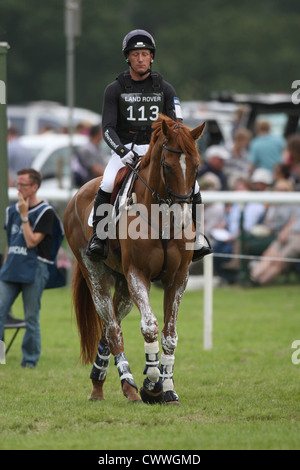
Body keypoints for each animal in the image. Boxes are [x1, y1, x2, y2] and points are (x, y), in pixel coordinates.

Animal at [62, 115, 204, 406]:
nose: (182, 218)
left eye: (196, 167)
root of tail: (78, 193)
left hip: (124, 286)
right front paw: (152, 384)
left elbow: (170, 335)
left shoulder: (178, 278)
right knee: (113, 329)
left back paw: (99, 382)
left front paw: (168, 389)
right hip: (97, 276)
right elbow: (150, 327)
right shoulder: (138, 275)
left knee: (110, 326)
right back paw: (128, 386)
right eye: (167, 166)